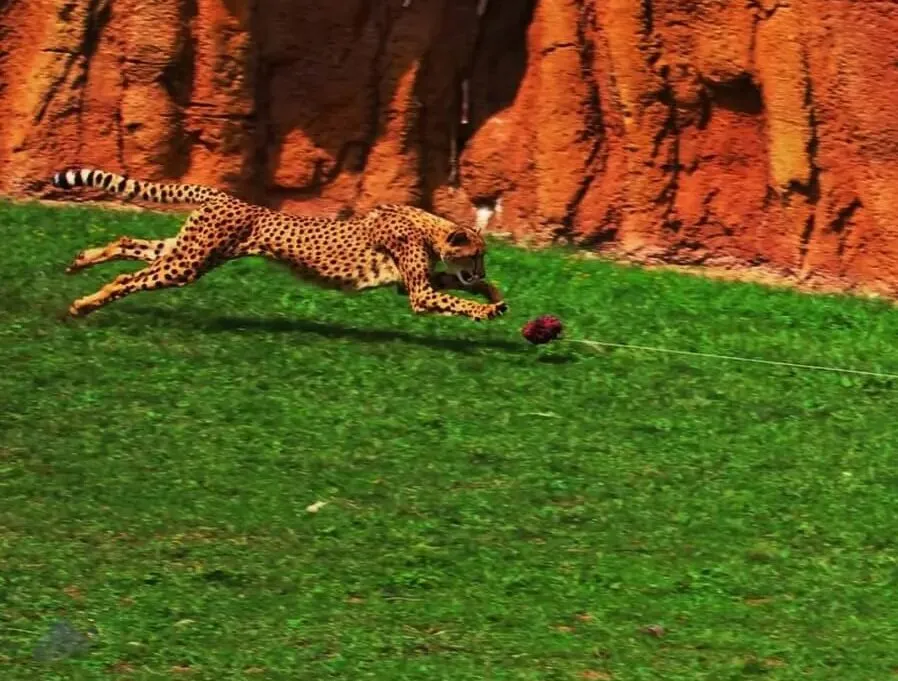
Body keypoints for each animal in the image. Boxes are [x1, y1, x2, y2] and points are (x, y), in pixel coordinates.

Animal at [50, 168, 508, 322]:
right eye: (476, 255)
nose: (480, 270)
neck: (427, 225)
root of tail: (226, 197)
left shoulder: (408, 283)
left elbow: (452, 287)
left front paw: (492, 293)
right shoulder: (418, 292)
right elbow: (451, 299)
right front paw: (488, 310)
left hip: (187, 250)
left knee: (129, 243)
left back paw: (81, 263)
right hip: (189, 262)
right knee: (129, 278)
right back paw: (84, 305)